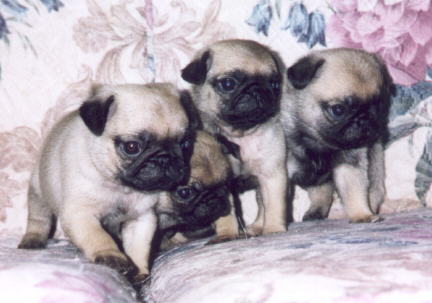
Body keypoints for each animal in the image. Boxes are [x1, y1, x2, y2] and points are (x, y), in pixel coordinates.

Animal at [18, 83, 197, 282]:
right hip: (38, 191)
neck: (121, 187)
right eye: (132, 147)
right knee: (39, 218)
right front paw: (111, 255)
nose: (164, 158)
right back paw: (33, 239)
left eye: (185, 145)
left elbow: (138, 248)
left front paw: (139, 272)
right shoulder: (80, 214)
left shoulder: (142, 219)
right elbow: (98, 236)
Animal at [181, 38, 288, 238]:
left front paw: (274, 230)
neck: (240, 135)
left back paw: (257, 227)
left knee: (262, 205)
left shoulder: (272, 176)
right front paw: (227, 235)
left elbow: (274, 206)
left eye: (274, 85)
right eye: (228, 84)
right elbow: (226, 213)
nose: (257, 90)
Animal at [282, 47, 394, 223]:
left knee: (372, 192)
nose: (364, 119)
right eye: (338, 109)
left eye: (378, 105)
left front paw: (362, 215)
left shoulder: (349, 165)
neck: (318, 142)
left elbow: (354, 191)